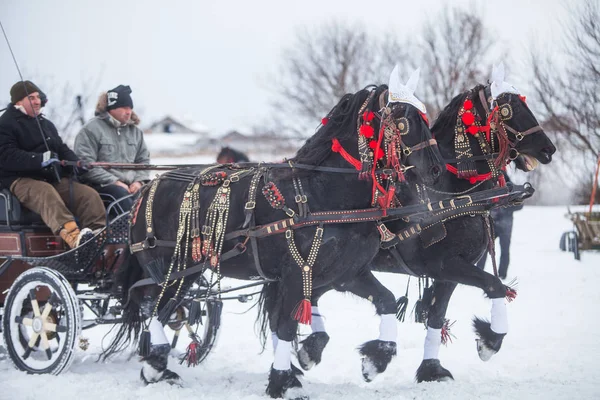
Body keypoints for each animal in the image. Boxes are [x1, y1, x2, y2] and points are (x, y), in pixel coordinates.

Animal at [109, 76, 446, 398]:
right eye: (403, 121)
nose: (436, 169)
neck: (323, 193)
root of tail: (147, 189)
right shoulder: (298, 273)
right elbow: (284, 327)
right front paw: (284, 381)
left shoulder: (347, 273)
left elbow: (386, 301)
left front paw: (375, 360)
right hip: (176, 270)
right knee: (154, 309)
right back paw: (156, 366)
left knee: (156, 308)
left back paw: (156, 365)